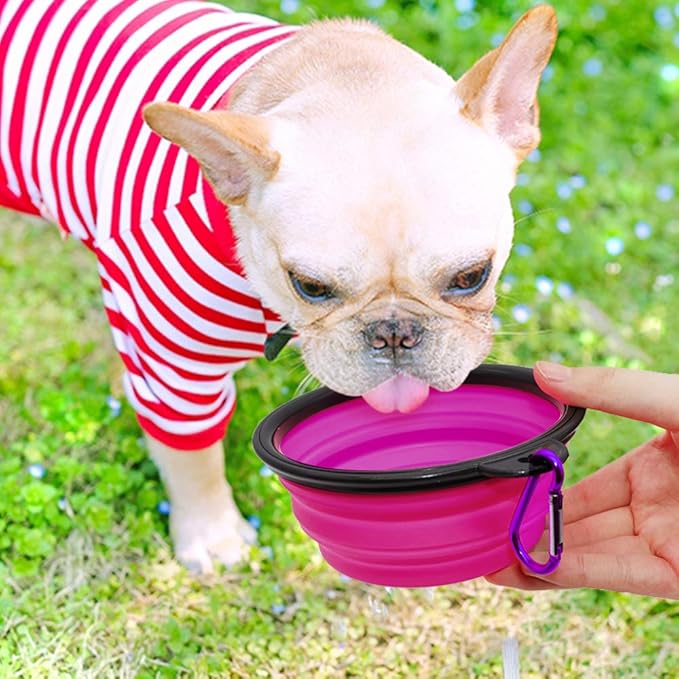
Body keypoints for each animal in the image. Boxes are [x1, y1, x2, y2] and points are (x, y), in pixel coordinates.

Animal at [1, 0, 556, 572]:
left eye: (472, 276)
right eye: (309, 286)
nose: (393, 333)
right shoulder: (175, 358)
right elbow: (191, 450)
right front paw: (212, 534)